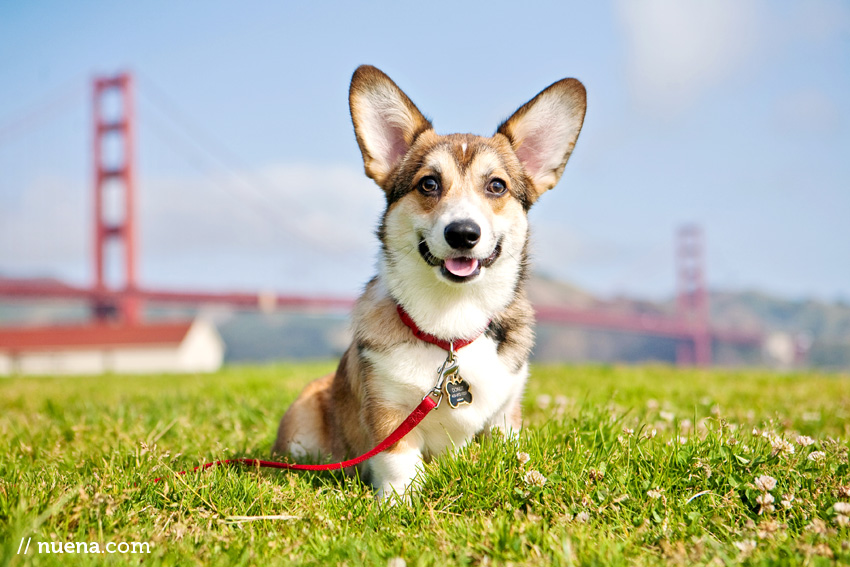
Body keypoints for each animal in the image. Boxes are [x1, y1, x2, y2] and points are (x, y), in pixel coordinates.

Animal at [272, 65, 584, 502]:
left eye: (497, 186)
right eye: (429, 184)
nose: (463, 233)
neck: (452, 319)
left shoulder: (505, 414)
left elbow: (508, 447)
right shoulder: (389, 412)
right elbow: (398, 460)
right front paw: (399, 502)